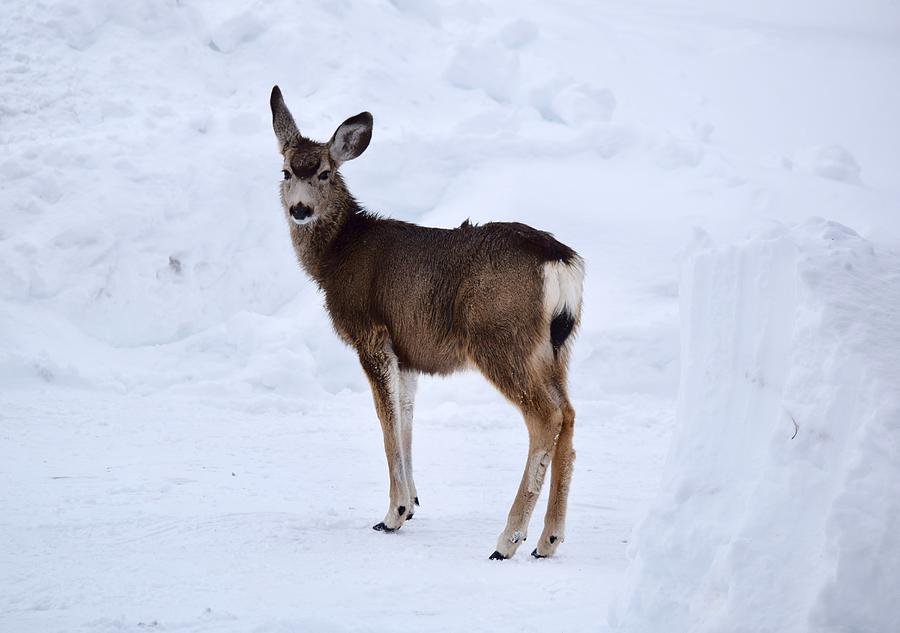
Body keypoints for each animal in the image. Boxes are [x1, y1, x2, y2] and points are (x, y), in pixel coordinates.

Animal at [268, 85, 584, 556]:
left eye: (324, 172)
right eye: (286, 170)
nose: (301, 210)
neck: (337, 256)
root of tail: (560, 262)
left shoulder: (371, 333)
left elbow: (386, 421)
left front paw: (393, 513)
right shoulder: (407, 349)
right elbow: (405, 416)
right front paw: (413, 504)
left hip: (500, 337)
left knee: (546, 418)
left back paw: (508, 540)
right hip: (556, 348)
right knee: (570, 413)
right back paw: (548, 539)